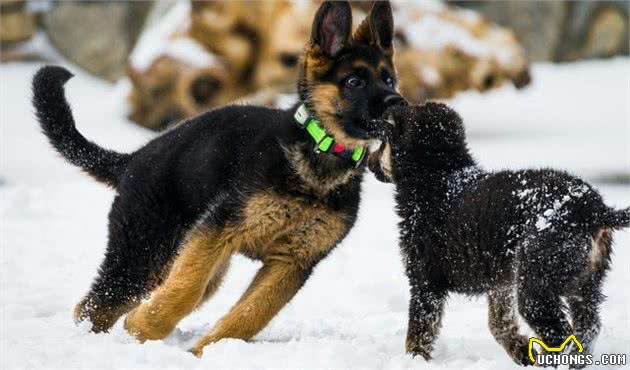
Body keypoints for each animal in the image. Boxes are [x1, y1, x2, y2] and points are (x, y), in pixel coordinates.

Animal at [32, 0, 408, 358]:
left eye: (389, 80)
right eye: (355, 82)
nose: (398, 103)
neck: (320, 154)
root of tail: (134, 159)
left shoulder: (293, 261)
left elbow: (251, 314)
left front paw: (202, 352)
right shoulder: (220, 227)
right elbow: (187, 289)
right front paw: (143, 327)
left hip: (176, 257)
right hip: (145, 251)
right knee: (96, 304)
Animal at [368, 102, 628, 366]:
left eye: (383, 141)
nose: (368, 160)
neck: (438, 178)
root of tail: (593, 209)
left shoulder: (424, 280)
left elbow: (419, 331)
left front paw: (415, 360)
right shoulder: (499, 282)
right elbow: (499, 324)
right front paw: (522, 352)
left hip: (537, 283)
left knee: (559, 334)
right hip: (585, 282)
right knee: (588, 327)